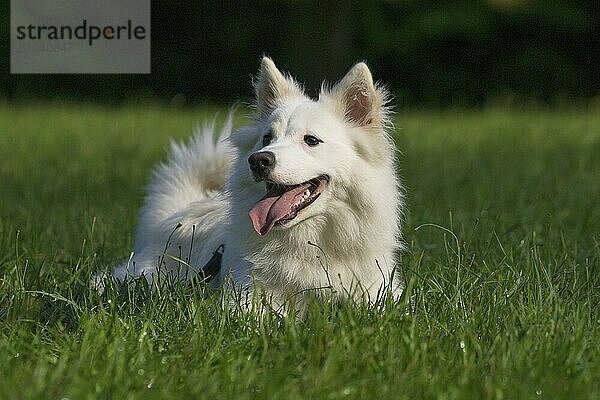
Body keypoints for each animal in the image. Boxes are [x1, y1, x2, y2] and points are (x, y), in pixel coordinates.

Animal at [101, 57, 406, 310]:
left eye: (311, 140)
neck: (310, 241)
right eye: (267, 138)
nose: (259, 160)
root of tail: (174, 215)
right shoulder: (249, 297)